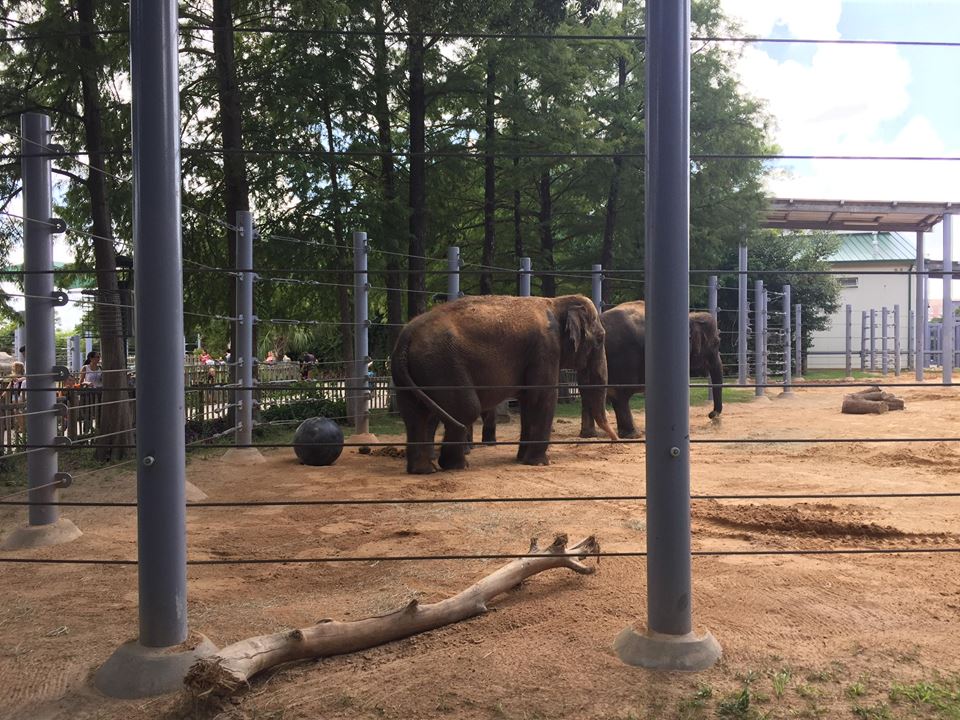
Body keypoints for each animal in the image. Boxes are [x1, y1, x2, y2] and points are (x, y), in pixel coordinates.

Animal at [391, 294, 618, 474]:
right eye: (600, 339)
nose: (615, 441)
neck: (556, 302)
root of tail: (406, 337)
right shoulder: (545, 348)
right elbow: (542, 397)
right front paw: (539, 463)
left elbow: (528, 401)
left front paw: (521, 459)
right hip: (443, 365)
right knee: (465, 410)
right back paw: (455, 465)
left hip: (414, 373)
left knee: (416, 415)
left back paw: (423, 470)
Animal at [578, 300, 723, 439]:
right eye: (716, 343)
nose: (711, 414)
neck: (690, 316)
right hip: (622, 359)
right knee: (620, 395)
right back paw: (633, 435)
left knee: (587, 391)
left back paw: (590, 434)